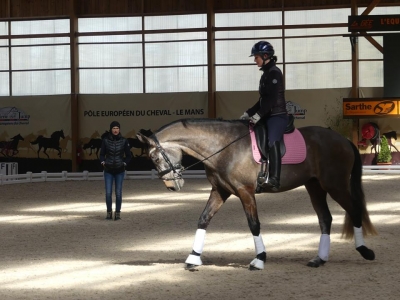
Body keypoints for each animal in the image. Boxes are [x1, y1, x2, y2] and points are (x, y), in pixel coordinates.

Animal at [136, 119, 376, 272]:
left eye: (155, 158)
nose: (172, 186)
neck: (223, 146)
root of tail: (343, 140)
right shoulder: (220, 191)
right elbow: (203, 219)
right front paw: (193, 258)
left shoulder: (245, 191)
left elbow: (254, 224)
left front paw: (259, 260)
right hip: (315, 186)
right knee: (325, 218)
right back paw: (319, 259)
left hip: (335, 185)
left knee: (354, 210)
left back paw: (364, 251)